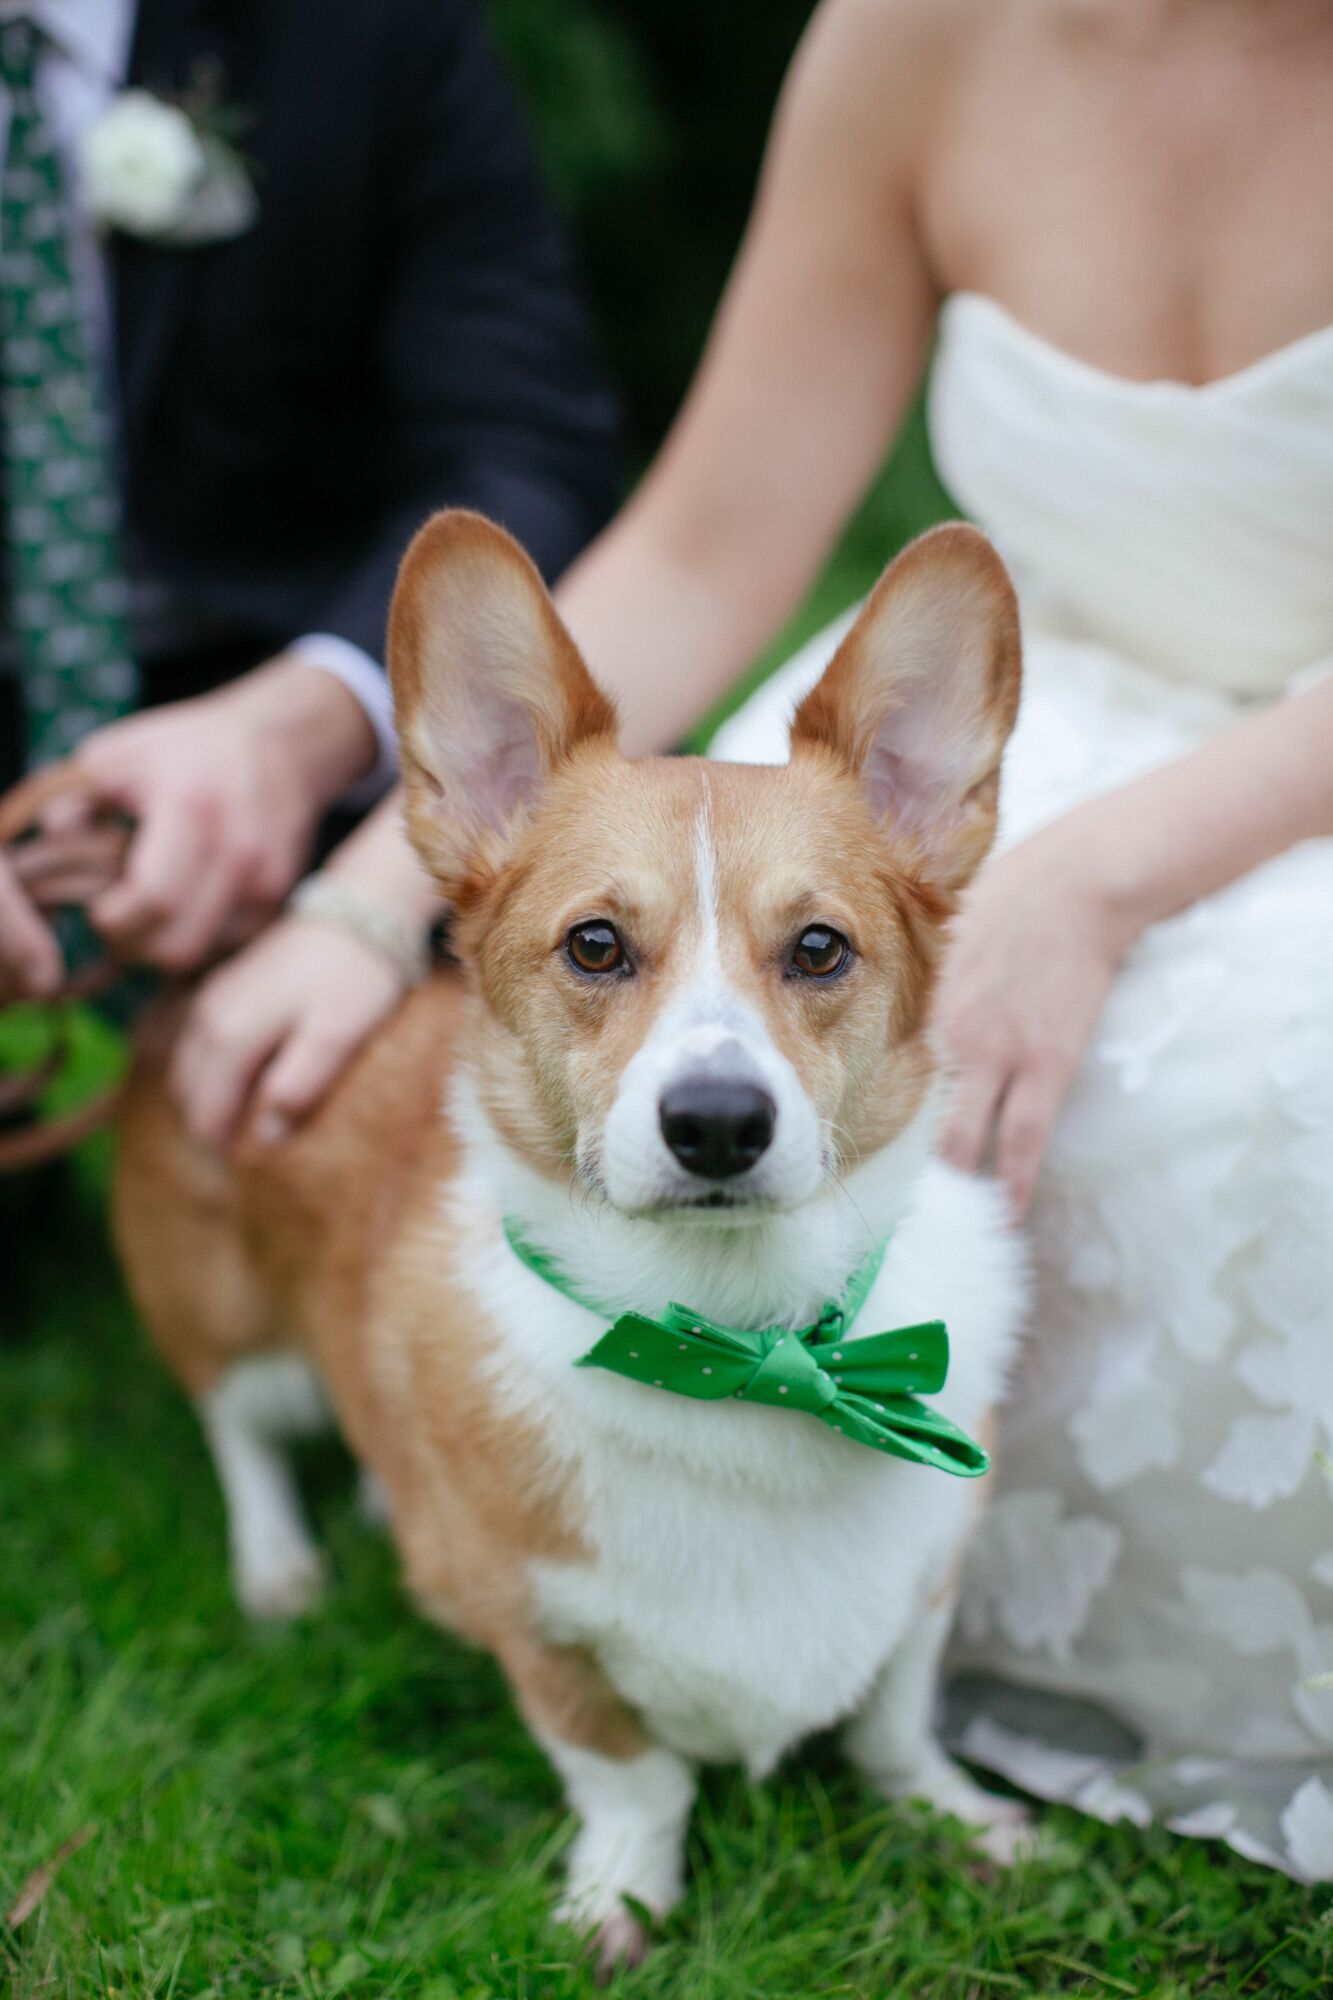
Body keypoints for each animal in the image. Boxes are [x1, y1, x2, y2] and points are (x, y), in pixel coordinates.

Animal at [114, 504, 1024, 1968]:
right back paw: (278, 1565)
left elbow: (893, 1718)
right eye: (595, 945)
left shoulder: (931, 1573)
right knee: (236, 1425)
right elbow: (629, 1771)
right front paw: (619, 1903)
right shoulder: (537, 1633)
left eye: (820, 949)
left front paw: (956, 1819)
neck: (740, 1337)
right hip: (229, 1318)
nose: (717, 1122)